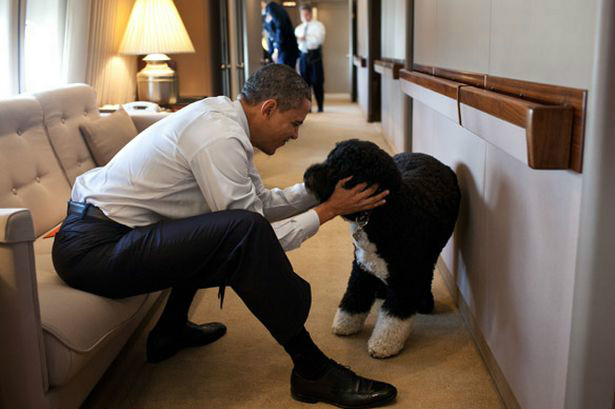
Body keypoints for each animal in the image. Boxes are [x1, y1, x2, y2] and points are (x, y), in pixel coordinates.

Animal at [306, 139, 460, 356]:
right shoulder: (361, 266)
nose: (308, 175)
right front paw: (346, 324)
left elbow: (394, 317)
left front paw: (384, 344)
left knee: (426, 274)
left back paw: (423, 301)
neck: (387, 212)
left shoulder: (405, 275)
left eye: (340, 167)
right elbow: (354, 297)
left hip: (430, 253)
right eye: (329, 158)